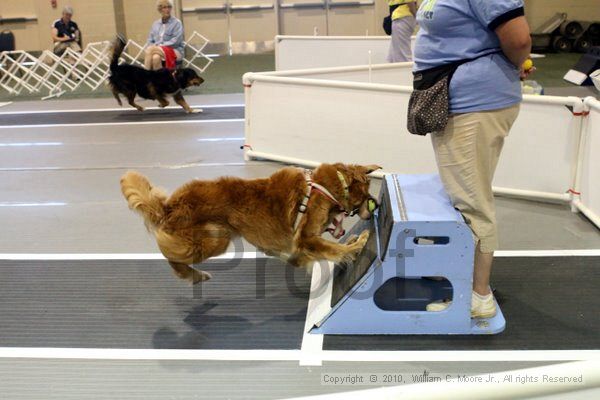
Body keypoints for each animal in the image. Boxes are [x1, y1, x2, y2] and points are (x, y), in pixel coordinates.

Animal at [120, 163, 382, 284]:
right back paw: (194, 275)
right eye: (367, 191)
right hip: (216, 239)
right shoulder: (306, 237)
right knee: (171, 256)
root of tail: (170, 206)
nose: (377, 204)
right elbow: (334, 248)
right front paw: (358, 244)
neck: (329, 187)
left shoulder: (295, 248)